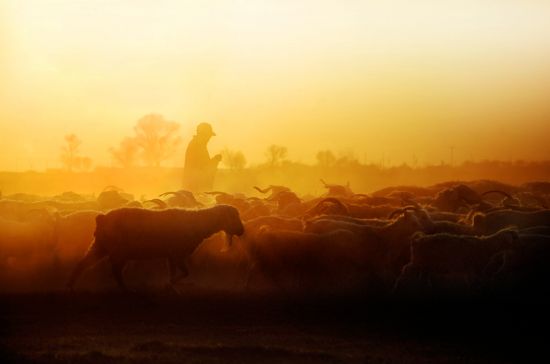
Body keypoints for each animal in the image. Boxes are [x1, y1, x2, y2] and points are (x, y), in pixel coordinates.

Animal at [67, 205, 244, 290]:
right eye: (233, 216)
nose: (242, 230)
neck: (199, 223)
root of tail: (102, 217)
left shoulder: (171, 255)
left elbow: (176, 272)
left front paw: (171, 287)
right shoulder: (177, 254)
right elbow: (184, 273)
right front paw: (169, 284)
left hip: (101, 246)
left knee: (84, 263)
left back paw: (72, 285)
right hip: (118, 251)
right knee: (115, 270)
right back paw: (125, 289)